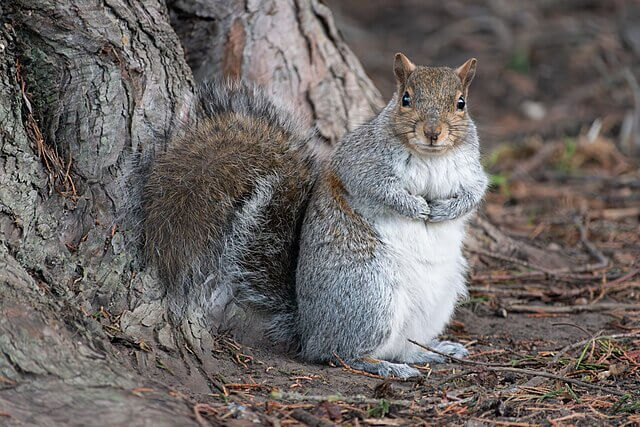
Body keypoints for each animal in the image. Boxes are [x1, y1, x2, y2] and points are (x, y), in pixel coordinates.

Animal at [140, 53, 487, 378]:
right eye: (406, 99)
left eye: (461, 103)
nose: (433, 132)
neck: (430, 157)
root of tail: (308, 331)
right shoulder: (359, 160)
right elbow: (377, 188)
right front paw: (414, 207)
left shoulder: (471, 170)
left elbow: (475, 192)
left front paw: (446, 209)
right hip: (369, 294)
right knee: (338, 353)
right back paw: (383, 366)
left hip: (432, 306)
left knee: (399, 346)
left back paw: (433, 351)